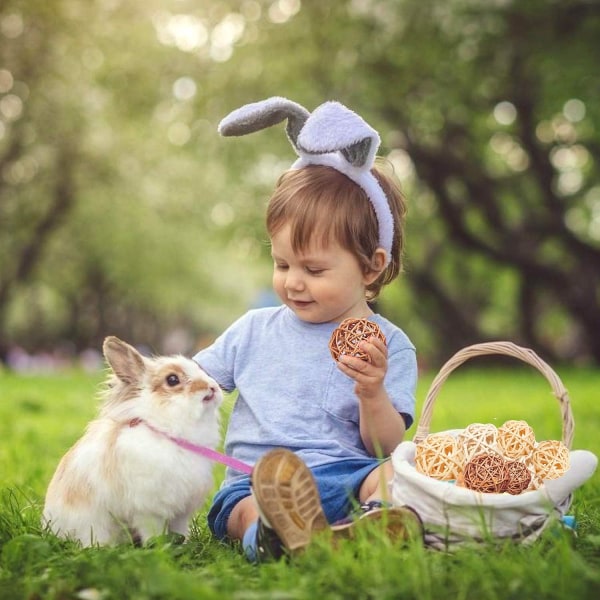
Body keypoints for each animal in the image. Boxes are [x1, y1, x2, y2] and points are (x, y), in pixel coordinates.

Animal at [42, 336, 223, 548]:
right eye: (172, 379)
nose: (213, 387)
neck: (164, 429)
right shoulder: (149, 509)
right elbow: (154, 532)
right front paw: (160, 547)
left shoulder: (181, 511)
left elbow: (180, 530)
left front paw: (184, 545)